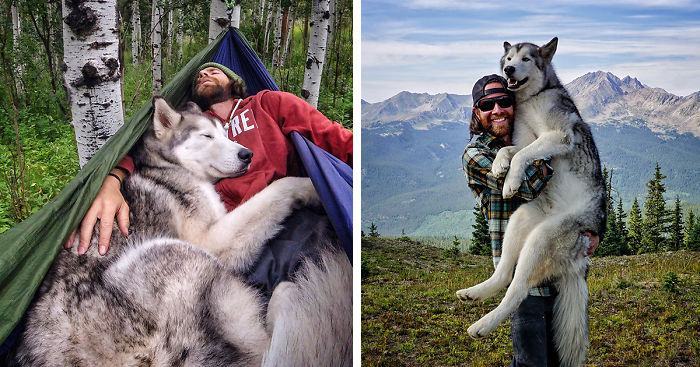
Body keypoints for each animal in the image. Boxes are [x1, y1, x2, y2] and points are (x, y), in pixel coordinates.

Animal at [15, 96, 356, 366]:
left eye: (225, 133)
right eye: (206, 136)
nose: (246, 154)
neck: (169, 167)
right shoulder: (212, 241)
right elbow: (277, 189)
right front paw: (311, 186)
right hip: (172, 253)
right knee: (264, 349)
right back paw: (290, 296)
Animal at [456, 38, 604, 367]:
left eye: (526, 59)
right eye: (509, 58)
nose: (509, 70)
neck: (532, 99)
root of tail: (579, 262)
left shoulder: (558, 136)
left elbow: (524, 154)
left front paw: (511, 181)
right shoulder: (523, 138)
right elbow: (510, 150)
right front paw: (499, 166)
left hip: (543, 238)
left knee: (519, 289)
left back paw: (482, 325)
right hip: (522, 218)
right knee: (504, 273)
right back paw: (475, 292)